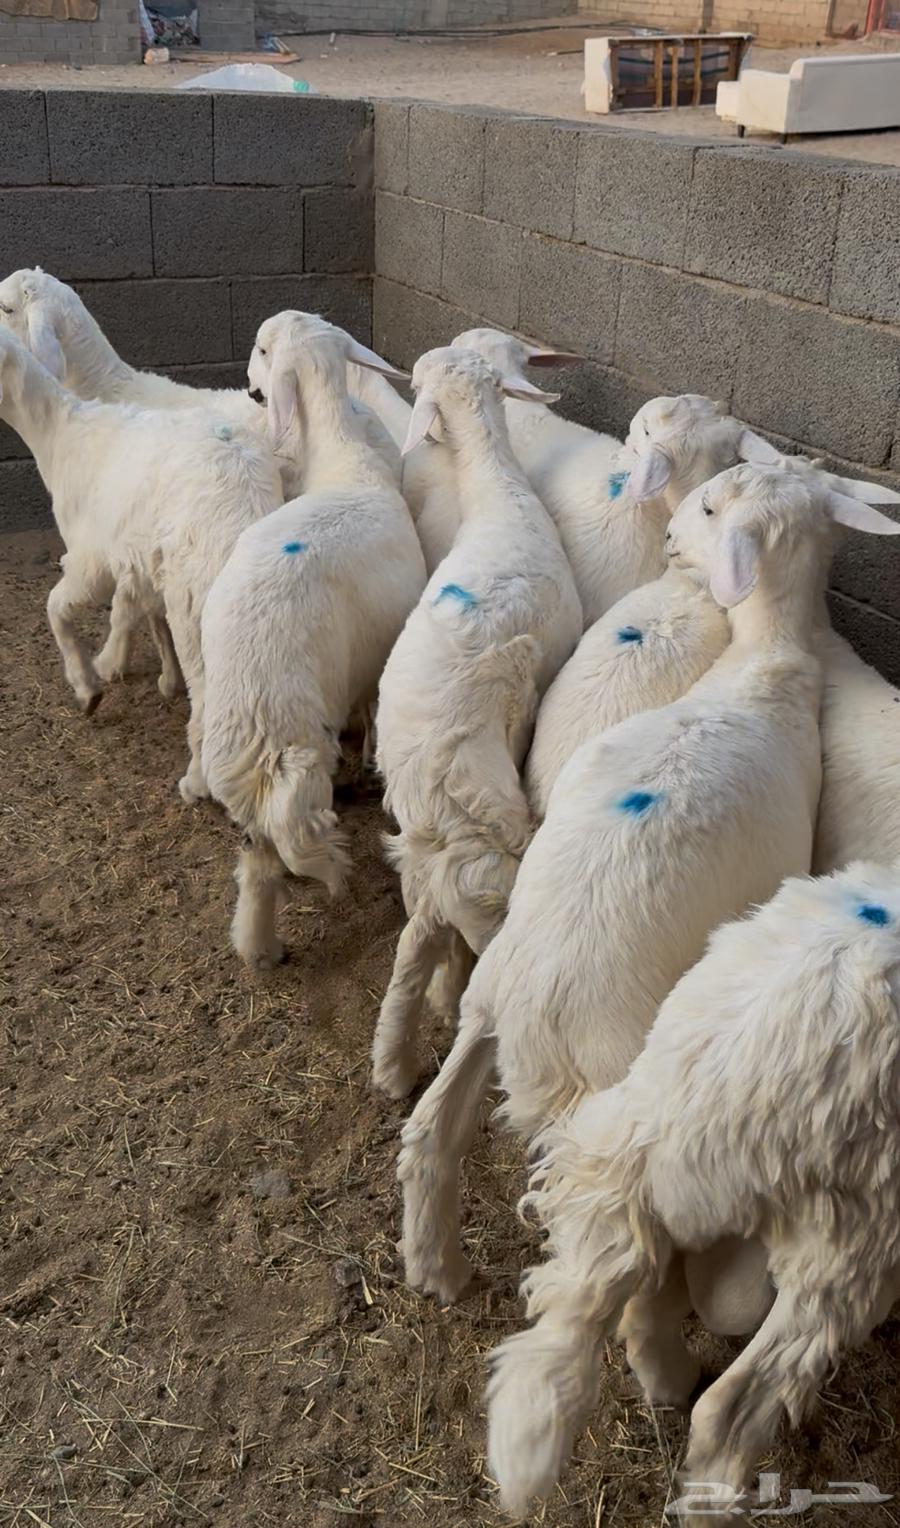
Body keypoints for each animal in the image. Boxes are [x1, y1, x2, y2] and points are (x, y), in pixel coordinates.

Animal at [0, 326, 281, 801]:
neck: (60, 435)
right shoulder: (138, 556)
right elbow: (141, 611)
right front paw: (153, 674)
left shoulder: (91, 555)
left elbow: (58, 608)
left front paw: (87, 686)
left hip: (195, 594)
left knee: (208, 689)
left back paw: (196, 780)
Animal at [200, 311, 426, 969]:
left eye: (260, 348)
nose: (250, 388)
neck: (344, 459)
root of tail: (259, 721)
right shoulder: (375, 656)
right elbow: (372, 714)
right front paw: (371, 769)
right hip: (304, 739)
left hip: (246, 787)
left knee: (257, 865)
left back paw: (260, 949)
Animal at [395, 459, 900, 1350]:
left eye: (710, 506)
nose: (666, 539)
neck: (764, 666)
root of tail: (540, 1020)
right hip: (617, 1068)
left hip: (485, 1004)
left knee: (430, 1132)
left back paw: (436, 1267)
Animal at [486, 861, 900, 1525]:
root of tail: (675, 1120)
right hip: (849, 1247)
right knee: (728, 1418)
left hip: (613, 1163)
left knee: (637, 1311)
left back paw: (671, 1381)